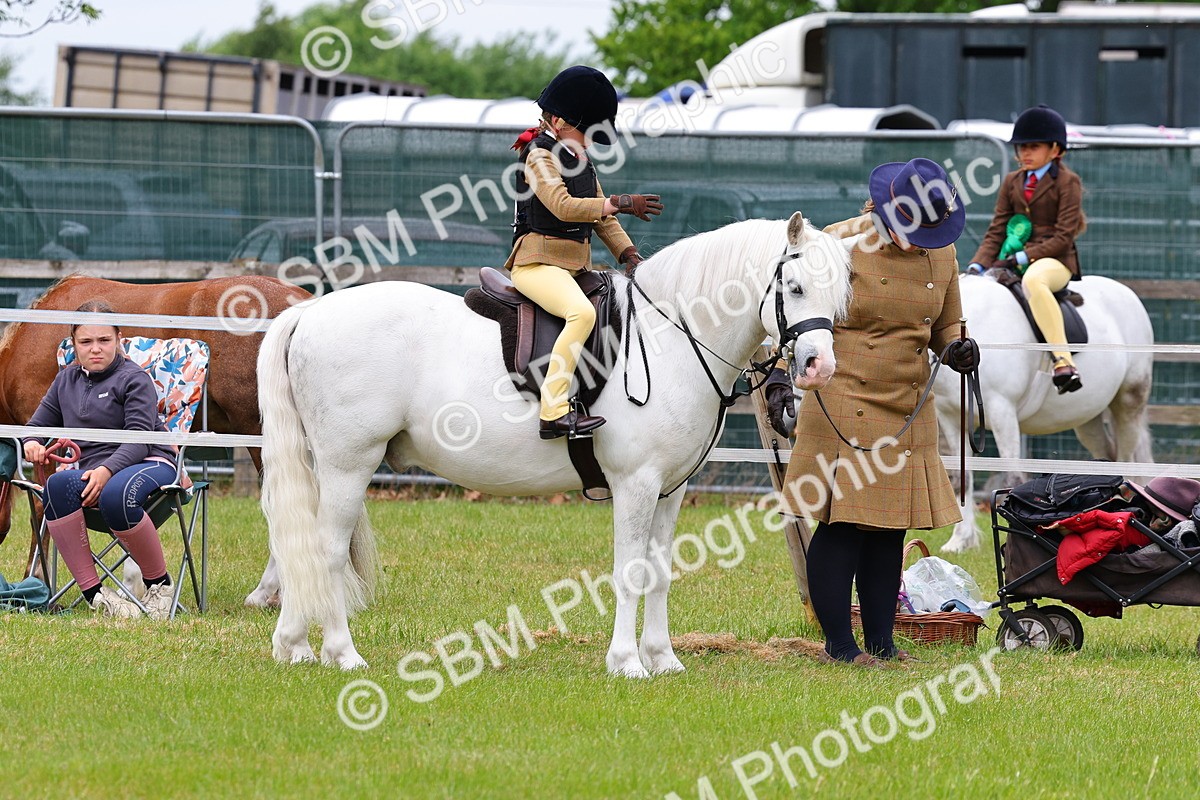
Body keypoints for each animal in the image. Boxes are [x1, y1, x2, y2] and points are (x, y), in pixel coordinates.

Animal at [258, 213, 859, 674]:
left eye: (840, 295)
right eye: (796, 287)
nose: (819, 367)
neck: (671, 336)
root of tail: (311, 311)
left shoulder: (670, 491)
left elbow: (661, 572)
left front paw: (663, 659)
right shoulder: (636, 485)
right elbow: (630, 572)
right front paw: (627, 663)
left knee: (298, 548)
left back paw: (294, 647)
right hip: (347, 465)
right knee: (328, 550)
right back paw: (343, 654)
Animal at [935, 273, 1154, 552]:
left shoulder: (1001, 410)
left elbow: (1013, 475)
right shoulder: (951, 419)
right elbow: (958, 478)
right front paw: (960, 541)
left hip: (1129, 401)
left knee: (1127, 457)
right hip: (1088, 420)